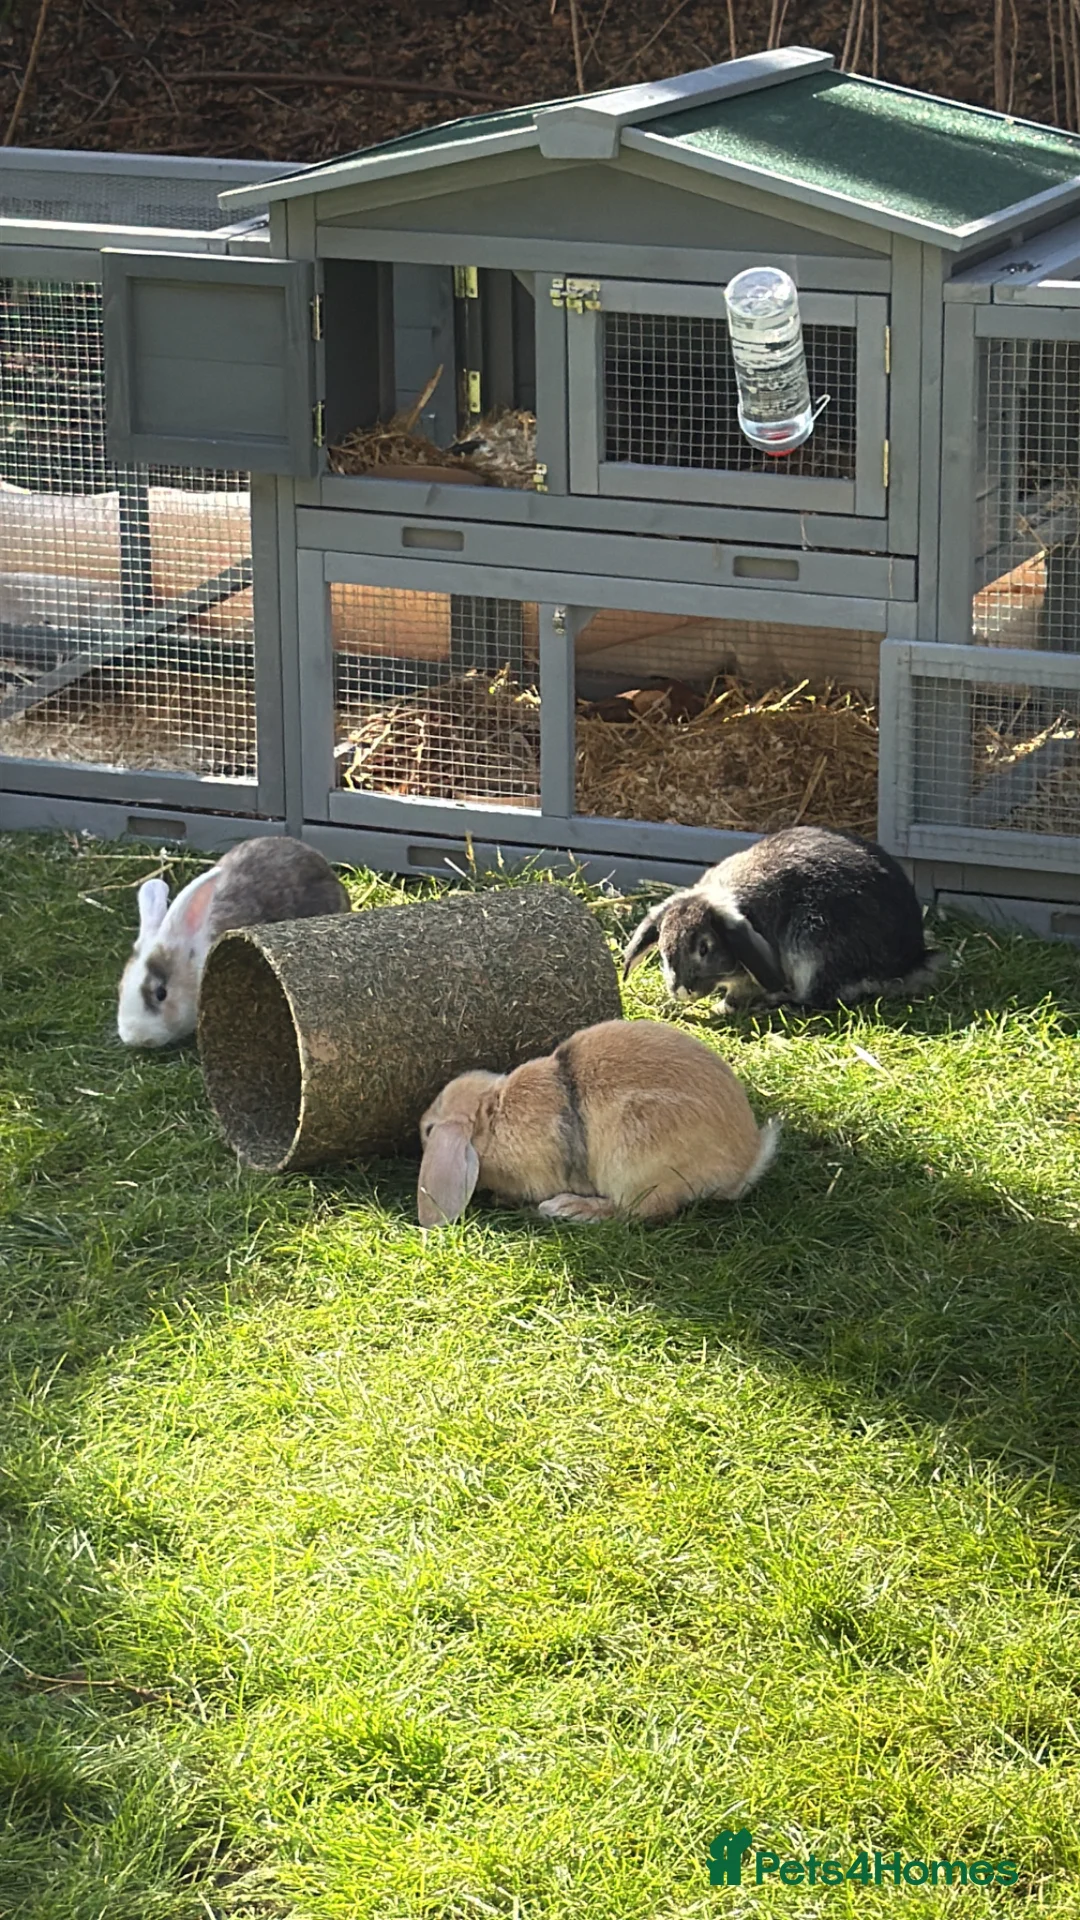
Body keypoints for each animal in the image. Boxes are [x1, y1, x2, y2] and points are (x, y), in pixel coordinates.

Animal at [417, 1017, 779, 1228]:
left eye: (429, 1131)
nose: (421, 1125)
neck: (495, 1117)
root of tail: (743, 1166)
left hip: (633, 1162)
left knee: (636, 1212)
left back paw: (567, 1208)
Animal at [622, 825, 945, 1014]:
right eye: (663, 951)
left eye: (704, 948)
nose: (681, 990)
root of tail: (907, 963)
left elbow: (738, 995)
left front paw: (719, 1010)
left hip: (813, 951)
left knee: (817, 998)